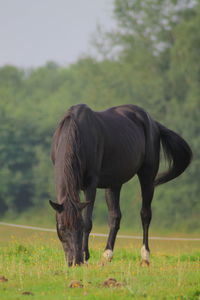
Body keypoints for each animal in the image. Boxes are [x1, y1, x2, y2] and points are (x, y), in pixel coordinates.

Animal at [49, 104, 192, 266]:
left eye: (79, 227)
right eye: (61, 228)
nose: (75, 261)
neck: (77, 131)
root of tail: (153, 123)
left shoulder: (90, 184)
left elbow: (88, 220)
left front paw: (85, 254)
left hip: (147, 177)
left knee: (145, 214)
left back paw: (145, 256)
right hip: (114, 184)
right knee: (115, 217)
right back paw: (107, 255)